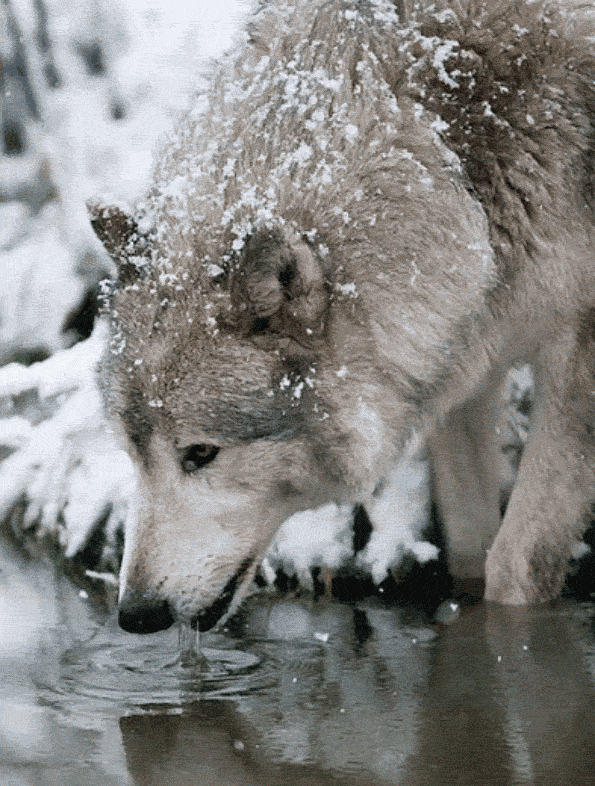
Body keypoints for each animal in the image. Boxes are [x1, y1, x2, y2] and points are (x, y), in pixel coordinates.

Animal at [92, 0, 595, 633]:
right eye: (133, 453)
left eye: (201, 454)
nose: (135, 614)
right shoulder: (467, 354)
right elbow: (468, 550)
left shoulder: (579, 348)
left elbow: (516, 563)